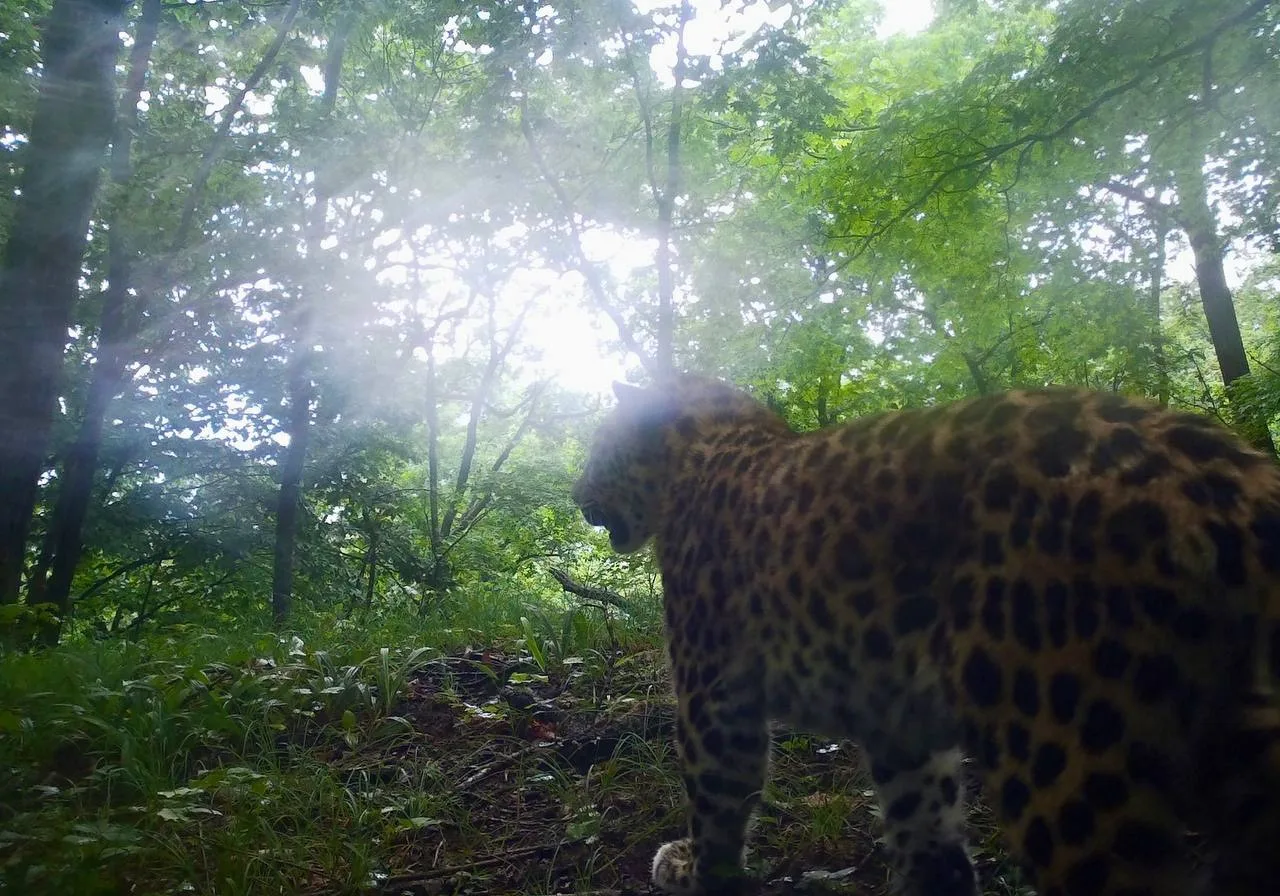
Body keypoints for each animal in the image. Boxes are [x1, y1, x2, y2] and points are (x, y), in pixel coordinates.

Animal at [570, 373, 1280, 896]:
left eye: (599, 444)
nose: (575, 495)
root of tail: (1234, 476)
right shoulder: (898, 719)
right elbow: (925, 829)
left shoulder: (715, 698)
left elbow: (716, 799)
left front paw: (689, 867)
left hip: (1068, 752)